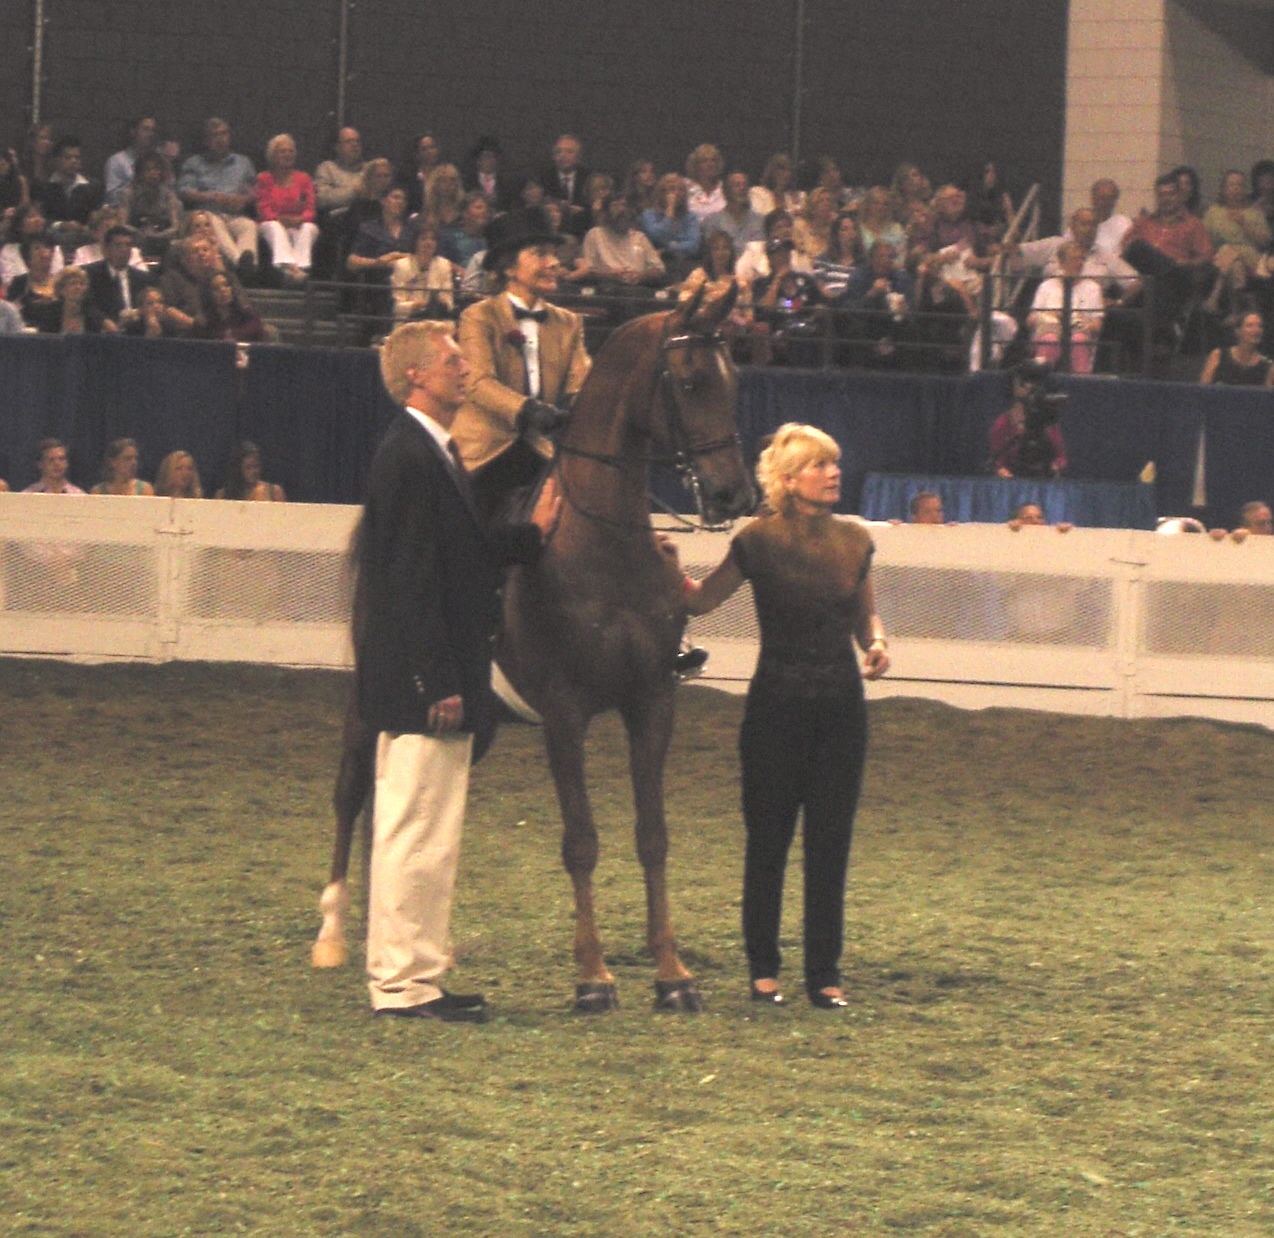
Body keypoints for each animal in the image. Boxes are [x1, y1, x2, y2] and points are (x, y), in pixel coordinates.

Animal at [312, 283, 755, 1011]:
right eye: (689, 380)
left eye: (733, 380)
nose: (732, 494)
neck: (603, 545)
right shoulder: (565, 713)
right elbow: (581, 841)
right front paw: (594, 977)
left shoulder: (652, 703)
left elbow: (653, 837)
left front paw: (671, 975)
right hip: (375, 699)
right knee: (351, 792)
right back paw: (334, 936)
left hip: (477, 719)